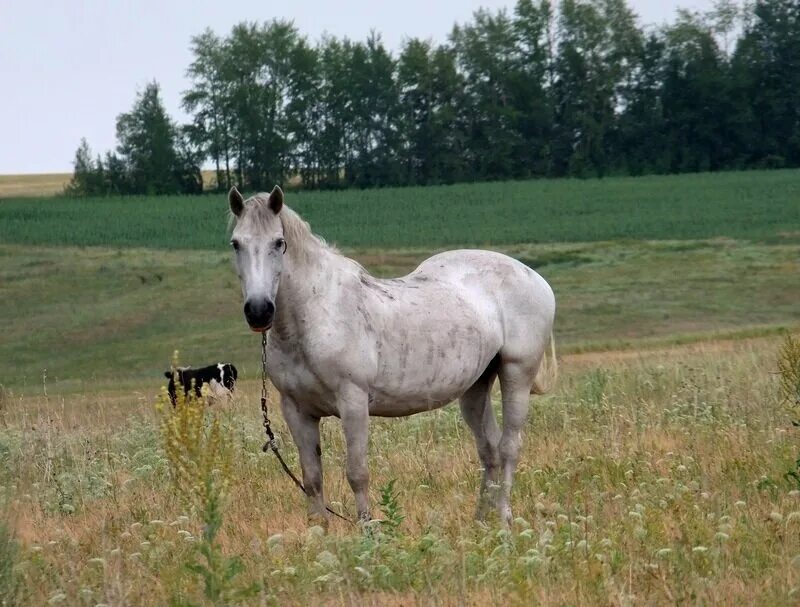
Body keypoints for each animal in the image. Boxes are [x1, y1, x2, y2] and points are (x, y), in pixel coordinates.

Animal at [227, 188, 556, 524]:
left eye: (278, 243)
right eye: (236, 243)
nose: (259, 311)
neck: (317, 313)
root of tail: (533, 276)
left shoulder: (353, 402)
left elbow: (357, 473)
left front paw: (369, 530)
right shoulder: (297, 410)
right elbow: (313, 480)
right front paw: (319, 532)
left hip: (516, 374)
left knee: (508, 447)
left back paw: (503, 519)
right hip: (476, 386)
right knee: (488, 449)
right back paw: (480, 522)